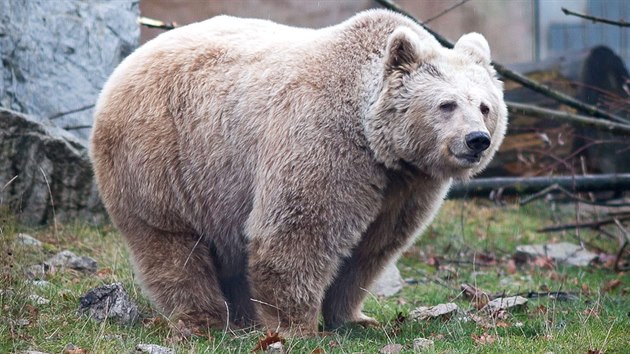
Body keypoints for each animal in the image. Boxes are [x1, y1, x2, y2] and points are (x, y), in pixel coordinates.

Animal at [90, 8, 508, 334]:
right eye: (446, 104)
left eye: (485, 106)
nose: (476, 140)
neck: (379, 142)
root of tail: (126, 65)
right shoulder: (324, 140)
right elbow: (299, 231)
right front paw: (297, 326)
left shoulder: (405, 187)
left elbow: (373, 248)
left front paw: (356, 318)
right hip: (161, 153)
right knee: (171, 243)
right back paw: (205, 318)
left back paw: (243, 317)